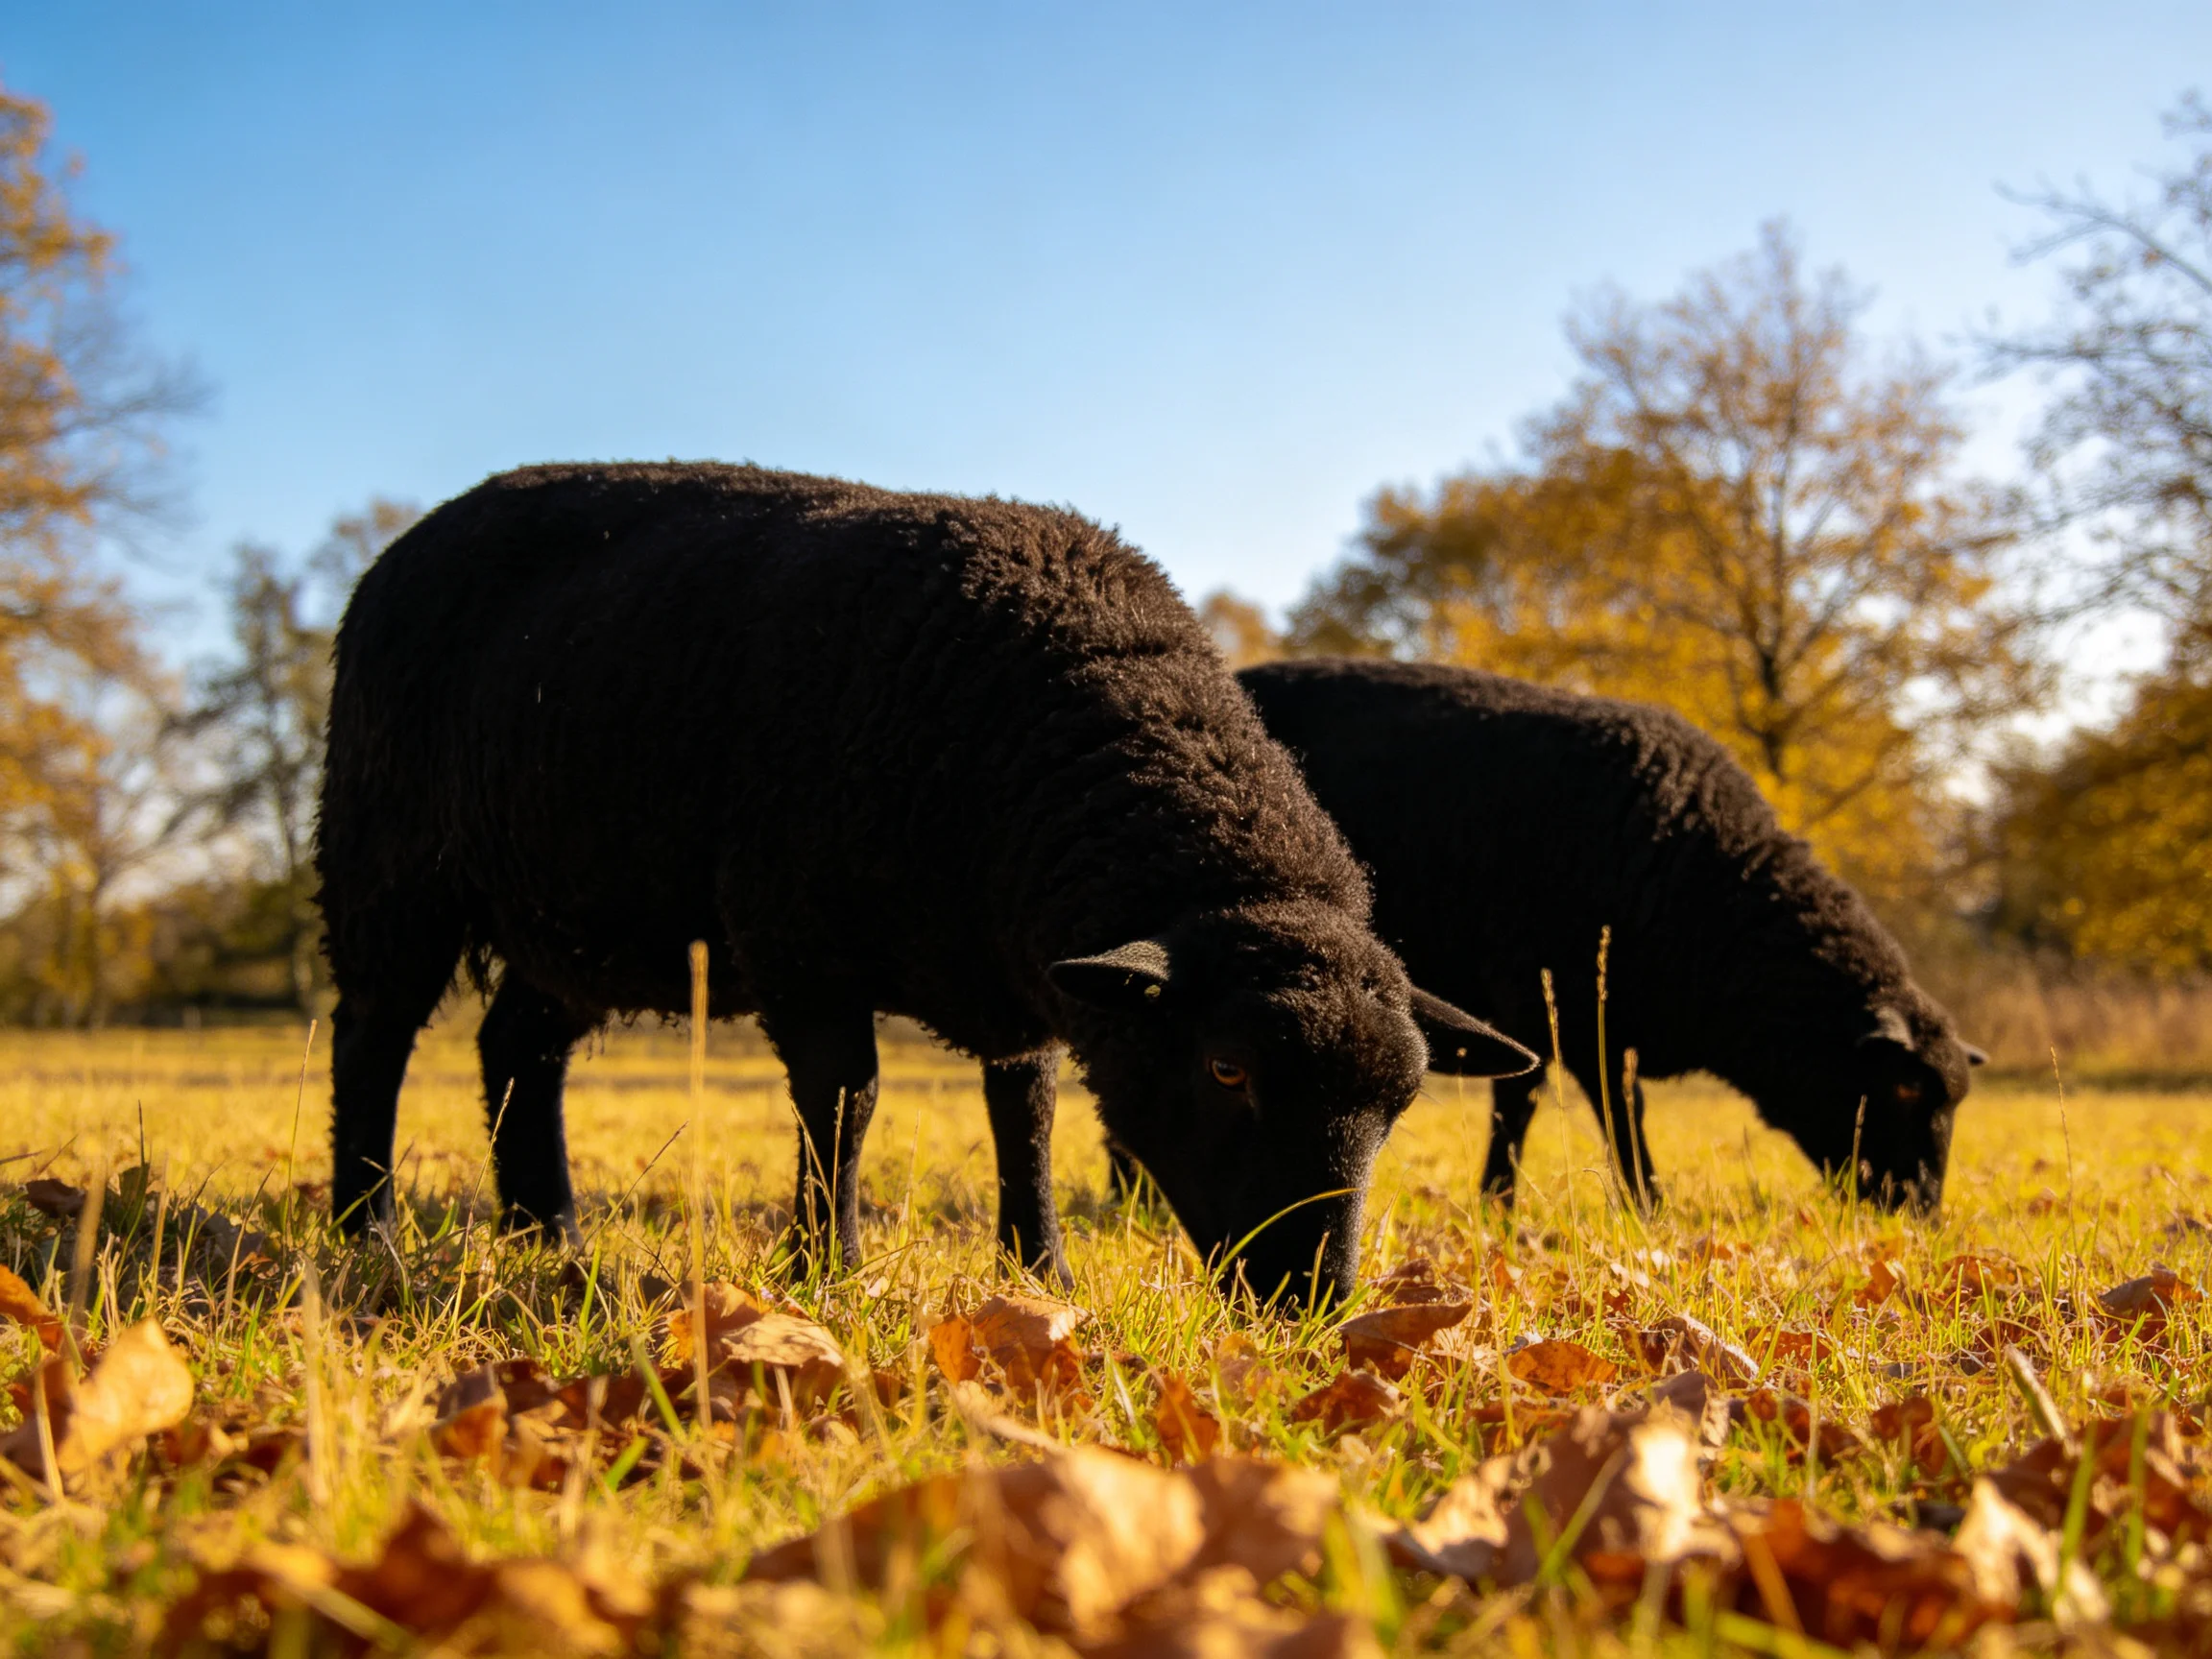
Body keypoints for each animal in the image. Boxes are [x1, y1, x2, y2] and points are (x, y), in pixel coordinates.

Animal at [315, 464, 1530, 1305]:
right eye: (1227, 1070)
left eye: (1402, 1105)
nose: (1314, 1302)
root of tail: (411, 541)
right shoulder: (799, 941)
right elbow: (845, 1103)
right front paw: (829, 1269)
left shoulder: (1023, 972)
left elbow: (1026, 1113)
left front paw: (1041, 1272)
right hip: (388, 864)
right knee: (373, 1037)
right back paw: (367, 1236)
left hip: (578, 916)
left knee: (518, 1045)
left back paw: (548, 1234)